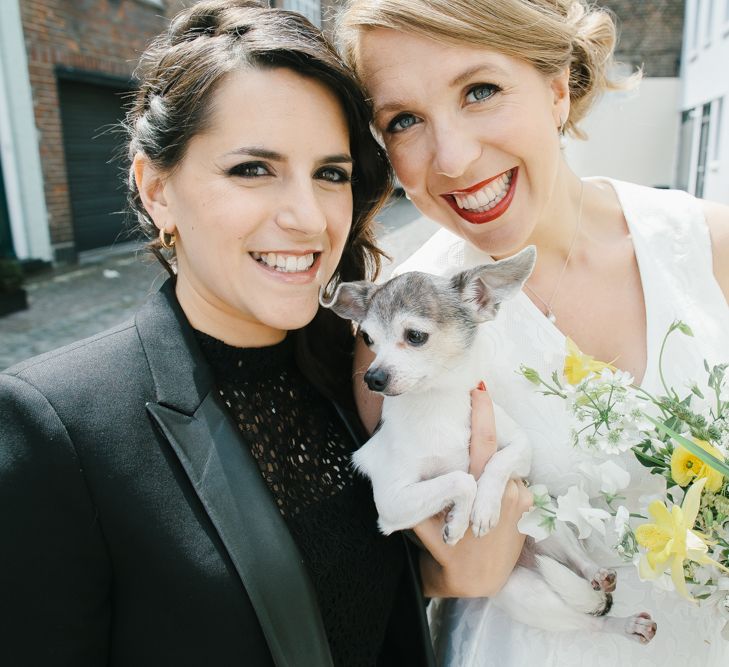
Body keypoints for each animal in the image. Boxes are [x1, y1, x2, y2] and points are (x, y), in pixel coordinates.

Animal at [322, 248, 656, 644]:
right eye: (368, 340)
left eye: (415, 336)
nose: (373, 377)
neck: (438, 405)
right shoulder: (392, 503)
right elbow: (462, 479)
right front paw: (459, 521)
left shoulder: (520, 449)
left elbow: (497, 463)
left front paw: (483, 508)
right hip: (523, 592)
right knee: (589, 621)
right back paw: (624, 623)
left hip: (544, 517)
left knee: (579, 564)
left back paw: (599, 577)